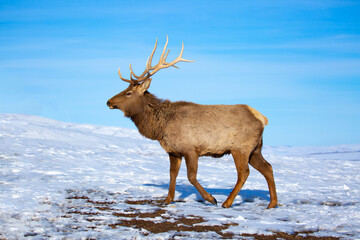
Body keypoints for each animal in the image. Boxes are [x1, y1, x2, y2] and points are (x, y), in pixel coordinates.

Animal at [107, 37, 278, 208]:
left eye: (128, 93)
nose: (109, 101)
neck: (160, 128)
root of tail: (262, 118)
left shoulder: (190, 148)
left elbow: (191, 176)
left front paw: (211, 198)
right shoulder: (173, 151)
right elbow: (172, 174)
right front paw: (167, 200)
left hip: (240, 147)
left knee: (244, 173)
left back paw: (227, 202)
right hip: (255, 149)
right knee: (268, 167)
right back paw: (272, 203)